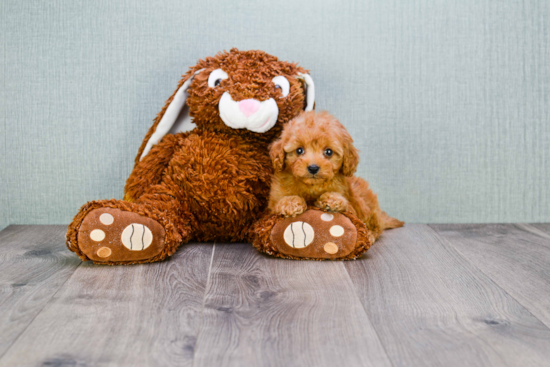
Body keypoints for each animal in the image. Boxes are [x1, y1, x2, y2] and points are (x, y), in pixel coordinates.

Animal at [268, 109, 406, 242]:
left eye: (328, 152)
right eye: (299, 150)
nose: (313, 168)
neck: (312, 186)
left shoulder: (352, 206)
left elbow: (348, 207)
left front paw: (332, 199)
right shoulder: (271, 206)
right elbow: (276, 205)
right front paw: (291, 202)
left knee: (375, 225)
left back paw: (370, 235)